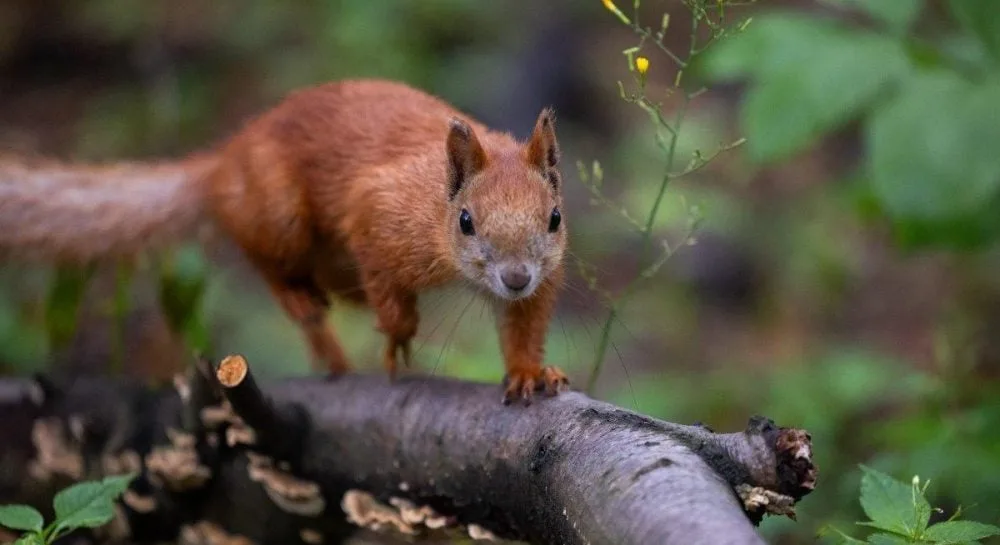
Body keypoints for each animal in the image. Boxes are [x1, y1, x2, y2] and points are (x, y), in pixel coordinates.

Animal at [0, 81, 568, 404]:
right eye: (466, 222)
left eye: (555, 217)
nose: (515, 277)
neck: (434, 200)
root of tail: (223, 163)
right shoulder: (378, 215)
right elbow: (390, 296)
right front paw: (398, 339)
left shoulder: (545, 277)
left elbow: (525, 323)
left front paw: (529, 372)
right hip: (281, 215)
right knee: (265, 260)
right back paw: (302, 305)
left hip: (329, 262)